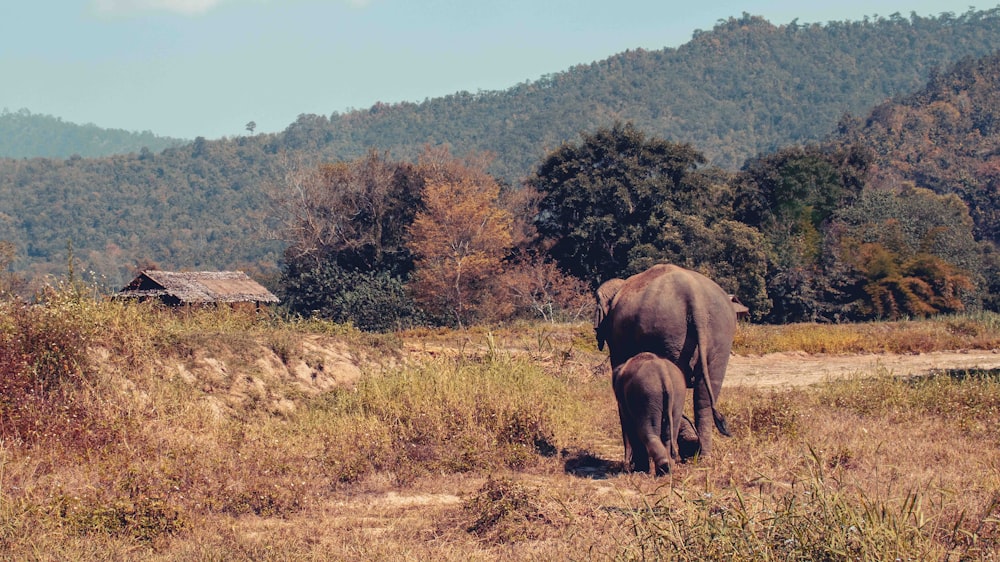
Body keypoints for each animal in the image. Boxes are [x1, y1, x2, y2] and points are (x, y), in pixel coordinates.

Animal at [596, 262, 740, 456]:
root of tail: (695, 297)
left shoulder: (617, 338)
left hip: (667, 333)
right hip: (719, 333)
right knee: (705, 395)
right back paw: (703, 455)